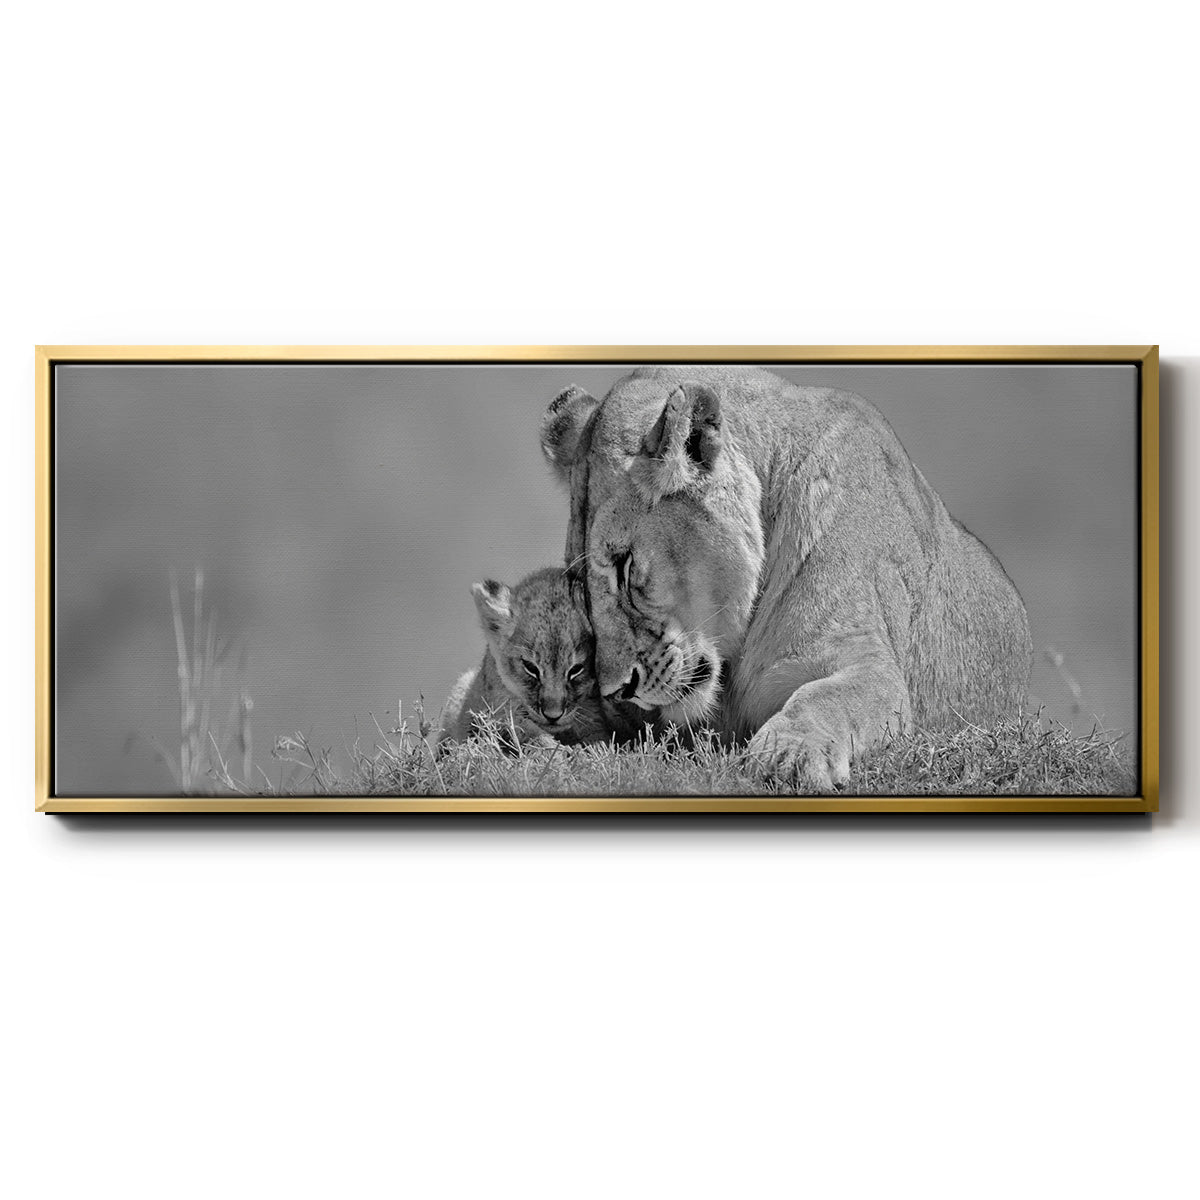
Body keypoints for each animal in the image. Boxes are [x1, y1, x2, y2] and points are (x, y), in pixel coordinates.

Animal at [437, 567, 609, 749]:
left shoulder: (593, 715)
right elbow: (531, 736)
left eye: (576, 669)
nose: (553, 716)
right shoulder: (502, 710)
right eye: (531, 668)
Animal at [540, 366, 1033, 789]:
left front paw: (788, 754)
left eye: (623, 565)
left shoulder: (866, 661)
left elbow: (826, 697)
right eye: (580, 584)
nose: (616, 691)